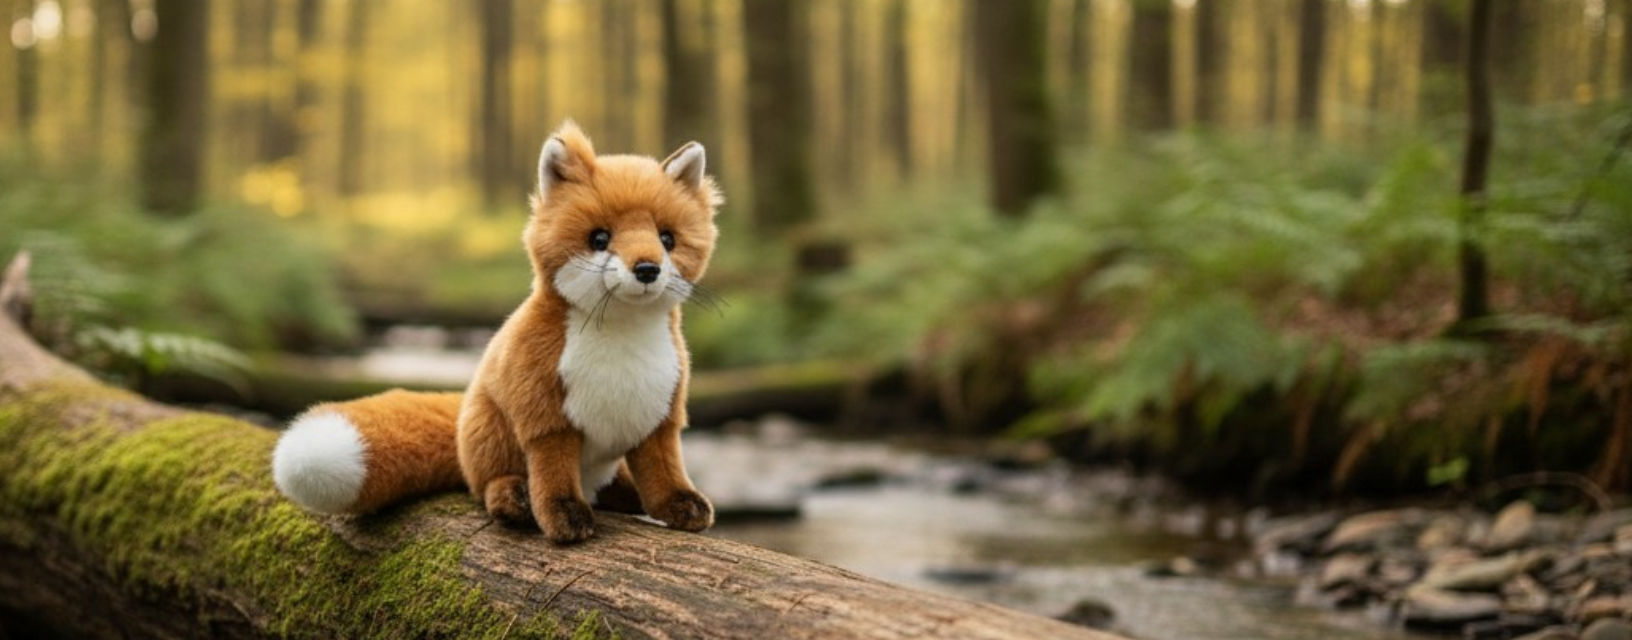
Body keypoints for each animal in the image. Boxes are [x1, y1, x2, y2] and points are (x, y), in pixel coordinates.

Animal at [271, 122, 720, 544]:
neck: (622, 346)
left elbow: (664, 471)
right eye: (600, 238)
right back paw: (514, 498)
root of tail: (462, 421)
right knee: (487, 485)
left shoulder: (660, 416)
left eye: (667, 238)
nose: (647, 269)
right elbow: (553, 475)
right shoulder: (545, 417)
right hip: (493, 434)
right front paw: (563, 516)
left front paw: (679, 505)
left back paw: (624, 494)